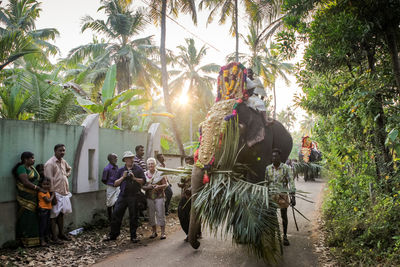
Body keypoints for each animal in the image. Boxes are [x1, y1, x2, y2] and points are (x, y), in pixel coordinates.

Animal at [186, 62, 292, 253]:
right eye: (200, 130)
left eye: (224, 135)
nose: (197, 243)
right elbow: (237, 185)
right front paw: (241, 239)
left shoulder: (264, 143)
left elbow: (255, 181)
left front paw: (255, 239)